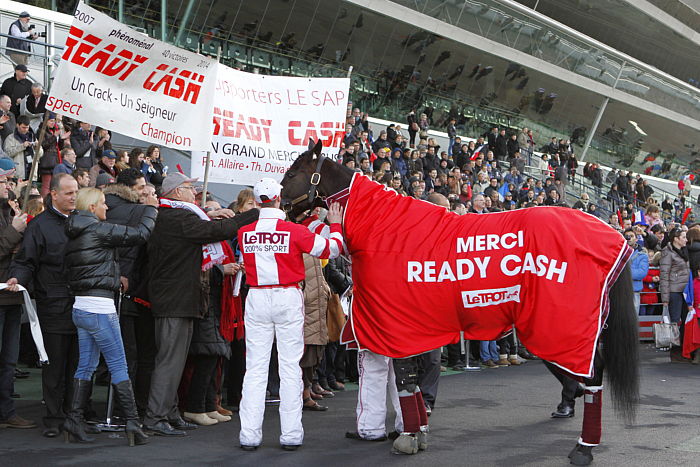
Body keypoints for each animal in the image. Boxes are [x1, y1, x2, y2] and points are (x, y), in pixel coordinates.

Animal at [280, 141, 640, 466]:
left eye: (294, 172)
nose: (281, 207)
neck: (384, 230)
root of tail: (612, 235)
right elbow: (411, 381)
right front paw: (417, 430)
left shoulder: (396, 323)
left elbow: (405, 380)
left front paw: (409, 435)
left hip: (563, 324)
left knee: (591, 376)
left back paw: (583, 446)